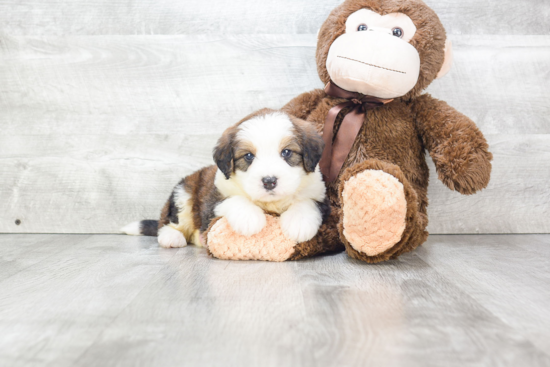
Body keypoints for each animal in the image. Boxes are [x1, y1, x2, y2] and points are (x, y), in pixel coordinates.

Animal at [122, 108, 328, 249]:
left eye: (286, 152)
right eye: (248, 156)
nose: (269, 181)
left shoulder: (320, 194)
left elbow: (306, 202)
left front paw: (299, 223)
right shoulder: (214, 198)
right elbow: (234, 200)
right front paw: (250, 219)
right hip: (183, 193)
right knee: (168, 222)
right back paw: (171, 237)